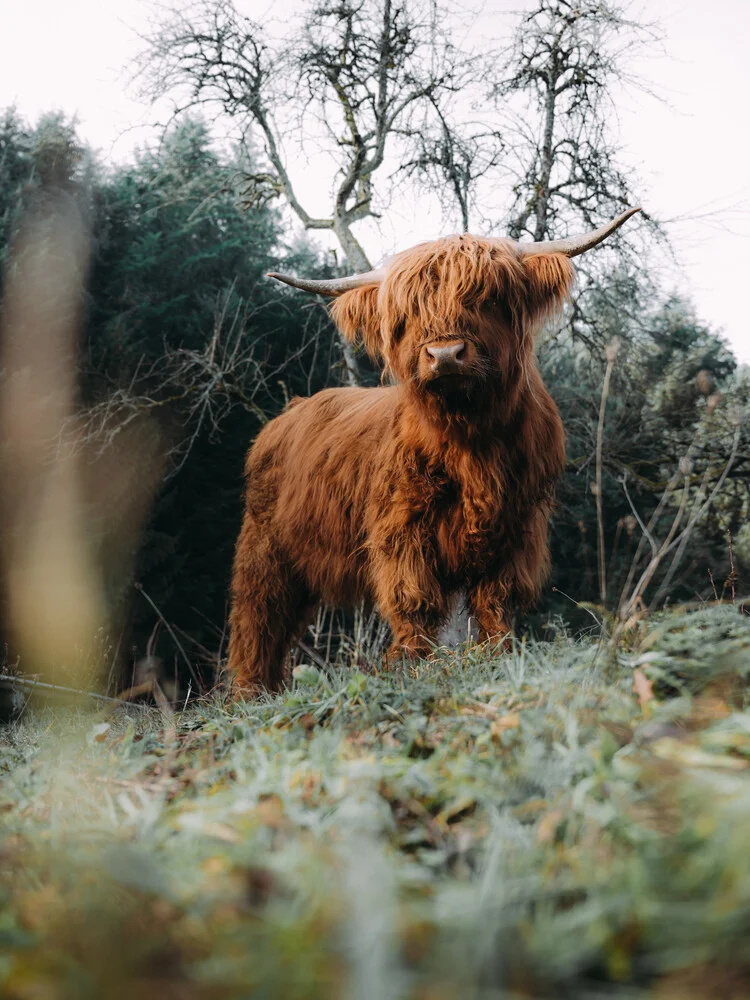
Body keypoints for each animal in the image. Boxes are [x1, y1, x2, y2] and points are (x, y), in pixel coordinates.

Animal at [228, 209, 640, 696]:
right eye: (407, 314)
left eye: (485, 298)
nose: (444, 354)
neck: (471, 441)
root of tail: (284, 416)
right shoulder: (402, 524)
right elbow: (413, 599)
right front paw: (410, 664)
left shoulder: (518, 525)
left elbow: (496, 599)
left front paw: (499, 654)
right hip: (265, 547)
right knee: (258, 617)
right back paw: (248, 691)